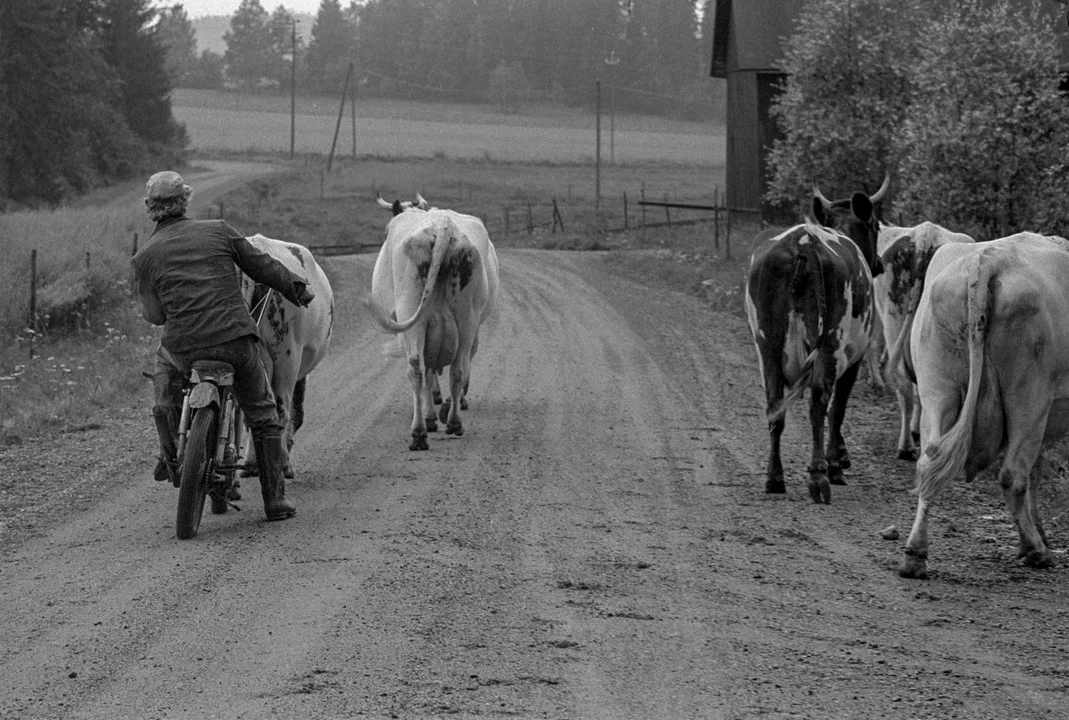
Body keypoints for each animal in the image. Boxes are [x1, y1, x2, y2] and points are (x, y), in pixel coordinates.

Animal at [367, 193, 500, 446]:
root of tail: (442, 225)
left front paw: (431, 411)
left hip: (413, 314)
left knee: (418, 368)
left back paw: (422, 429)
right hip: (466, 318)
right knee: (455, 368)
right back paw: (450, 422)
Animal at [744, 176, 885, 502]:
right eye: (876, 226)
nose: (880, 264)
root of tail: (804, 243)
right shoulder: (855, 357)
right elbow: (838, 408)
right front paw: (836, 462)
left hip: (768, 344)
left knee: (775, 405)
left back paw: (775, 478)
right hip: (830, 340)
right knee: (819, 401)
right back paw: (819, 475)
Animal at [897, 233, 1069, 576]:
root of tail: (987, 259)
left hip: (937, 385)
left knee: (929, 461)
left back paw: (915, 555)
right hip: (1029, 396)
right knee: (1013, 473)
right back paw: (1037, 550)